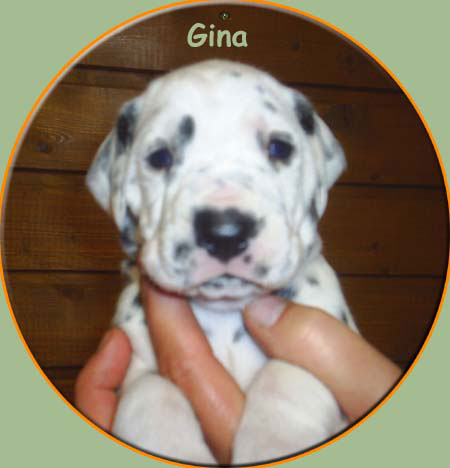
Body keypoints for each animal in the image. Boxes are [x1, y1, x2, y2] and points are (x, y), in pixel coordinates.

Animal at [86, 60, 357, 464]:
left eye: (279, 148)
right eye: (160, 157)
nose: (225, 232)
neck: (225, 313)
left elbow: (288, 377)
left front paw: (275, 443)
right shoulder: (133, 365)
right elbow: (150, 394)